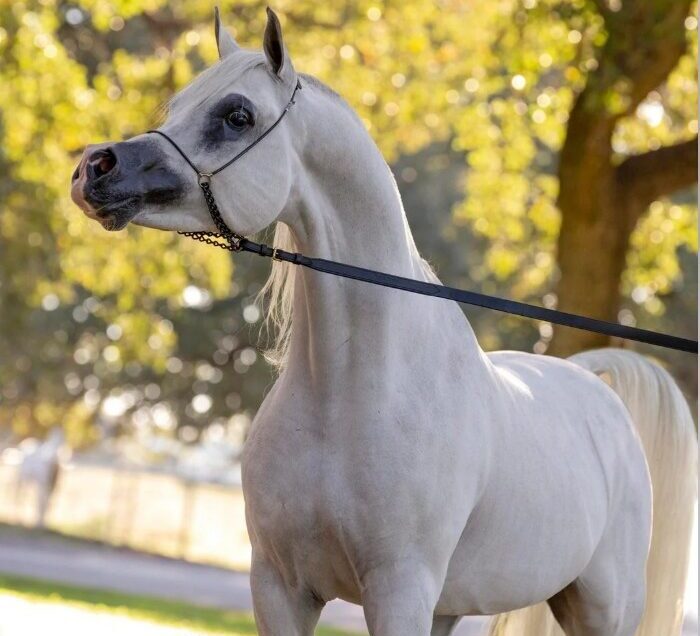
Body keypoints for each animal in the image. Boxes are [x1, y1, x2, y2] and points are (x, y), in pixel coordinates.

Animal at [70, 9, 697, 635]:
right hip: (453, 607)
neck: (352, 397)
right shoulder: (278, 587)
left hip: (601, 609)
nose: (93, 167)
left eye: (237, 115)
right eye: (176, 106)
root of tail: (598, 390)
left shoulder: (399, 592)